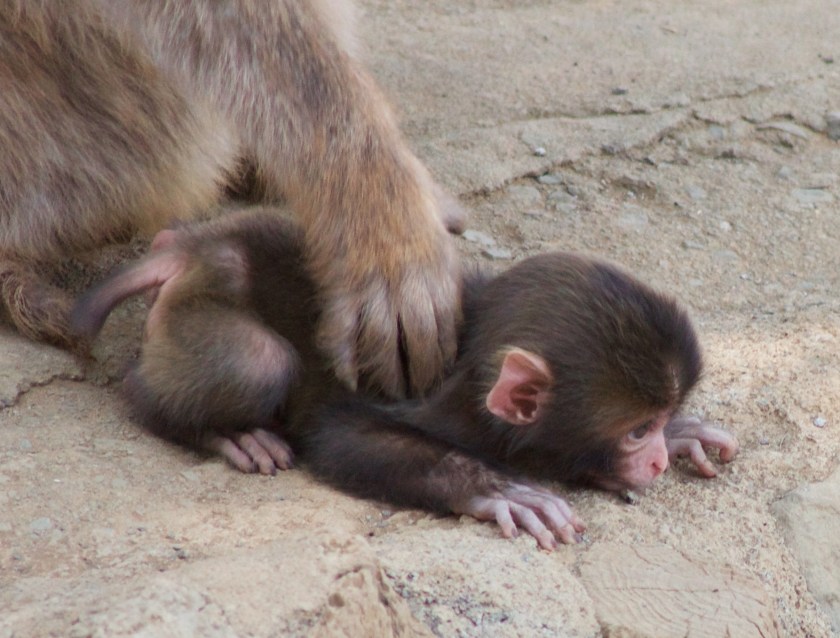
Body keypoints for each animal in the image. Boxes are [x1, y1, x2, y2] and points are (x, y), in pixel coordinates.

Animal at [72, 207, 739, 549]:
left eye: (656, 420)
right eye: (635, 431)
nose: (654, 458)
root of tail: (195, 250)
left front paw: (685, 434)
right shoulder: (433, 409)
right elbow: (343, 438)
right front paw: (500, 489)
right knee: (252, 364)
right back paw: (220, 428)